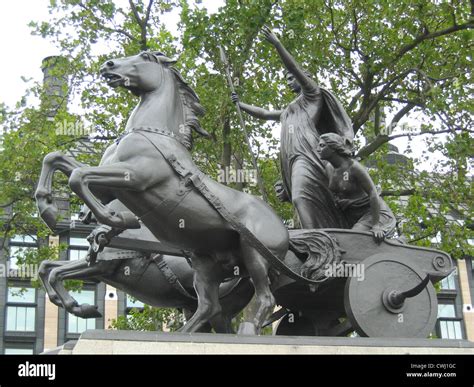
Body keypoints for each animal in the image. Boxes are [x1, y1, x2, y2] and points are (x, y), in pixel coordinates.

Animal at [36, 50, 288, 336]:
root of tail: (282, 226)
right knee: (210, 307)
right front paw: (47, 209)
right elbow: (56, 159)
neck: (153, 135)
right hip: (206, 265)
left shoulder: (134, 178)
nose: (108, 65)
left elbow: (78, 177)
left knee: (264, 298)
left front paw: (117, 219)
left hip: (255, 254)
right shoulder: (106, 190)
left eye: (145, 56)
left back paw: (246, 331)